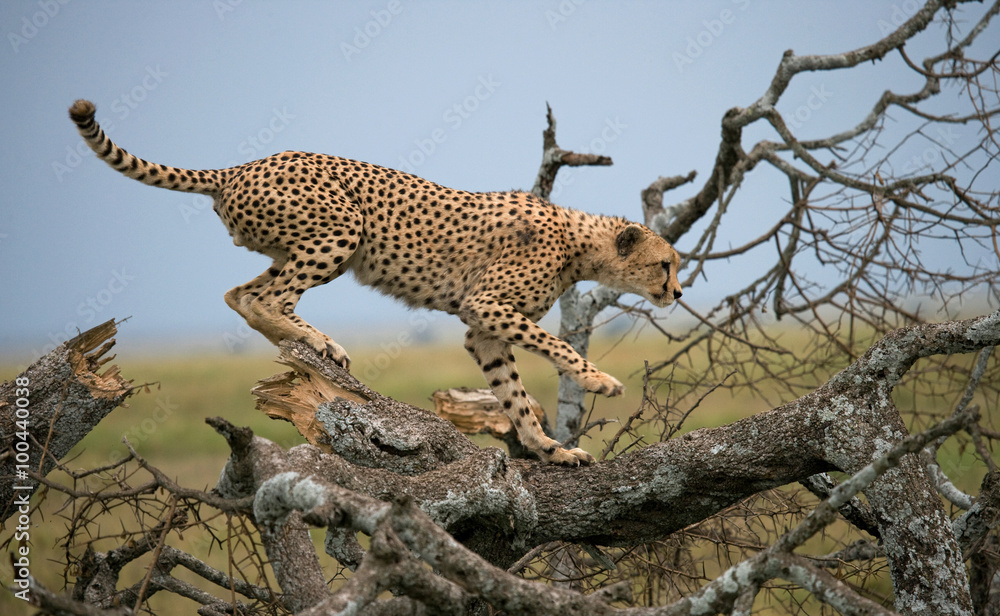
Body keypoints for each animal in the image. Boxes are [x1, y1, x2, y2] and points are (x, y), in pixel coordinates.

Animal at [68, 100, 680, 466]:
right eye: (665, 264)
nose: (678, 292)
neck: (580, 244)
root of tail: (243, 166)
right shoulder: (487, 305)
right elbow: (554, 345)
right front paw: (599, 381)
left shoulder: (482, 328)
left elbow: (514, 393)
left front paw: (548, 448)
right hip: (341, 228)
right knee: (269, 297)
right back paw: (317, 342)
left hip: (294, 243)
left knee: (239, 294)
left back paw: (302, 342)